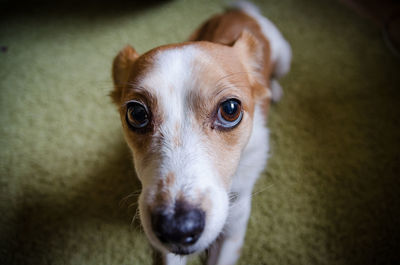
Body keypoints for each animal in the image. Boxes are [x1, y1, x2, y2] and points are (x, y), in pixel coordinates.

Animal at [110, 1, 290, 262]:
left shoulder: (233, 230)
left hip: (285, 56)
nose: (177, 229)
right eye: (136, 114)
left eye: (230, 109)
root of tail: (241, 11)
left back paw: (273, 88)